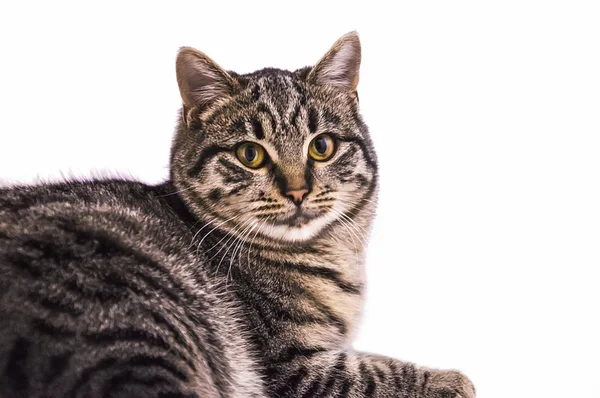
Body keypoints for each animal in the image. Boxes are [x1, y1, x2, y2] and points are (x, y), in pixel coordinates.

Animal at [1, 33, 478, 398]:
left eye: (321, 147)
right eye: (251, 154)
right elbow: (376, 371)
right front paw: (452, 381)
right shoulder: (293, 367)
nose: (298, 190)